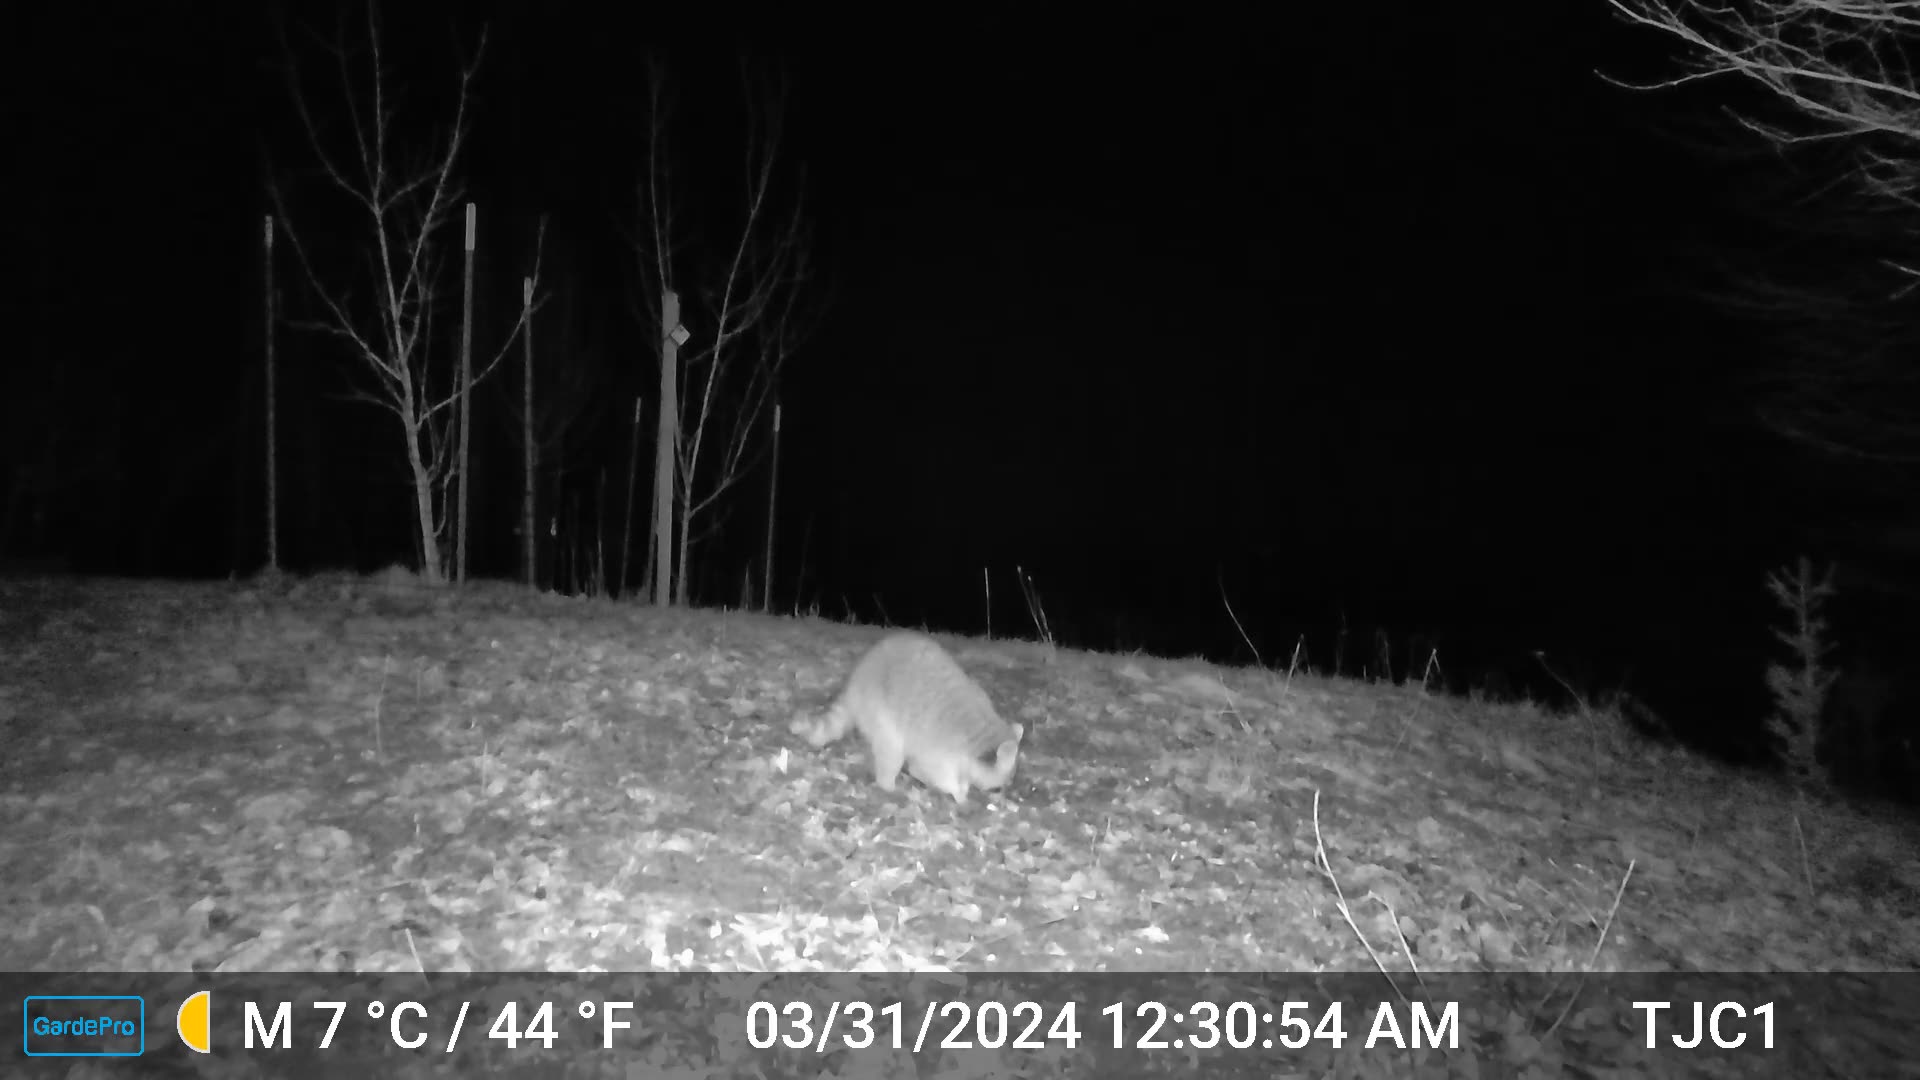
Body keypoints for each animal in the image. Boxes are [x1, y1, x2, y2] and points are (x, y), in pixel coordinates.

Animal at [791, 632, 1024, 803]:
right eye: (998, 787)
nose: (1004, 795)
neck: (978, 735)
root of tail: (857, 678)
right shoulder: (937, 749)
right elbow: (929, 771)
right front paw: (957, 790)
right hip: (880, 711)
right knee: (891, 751)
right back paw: (888, 784)